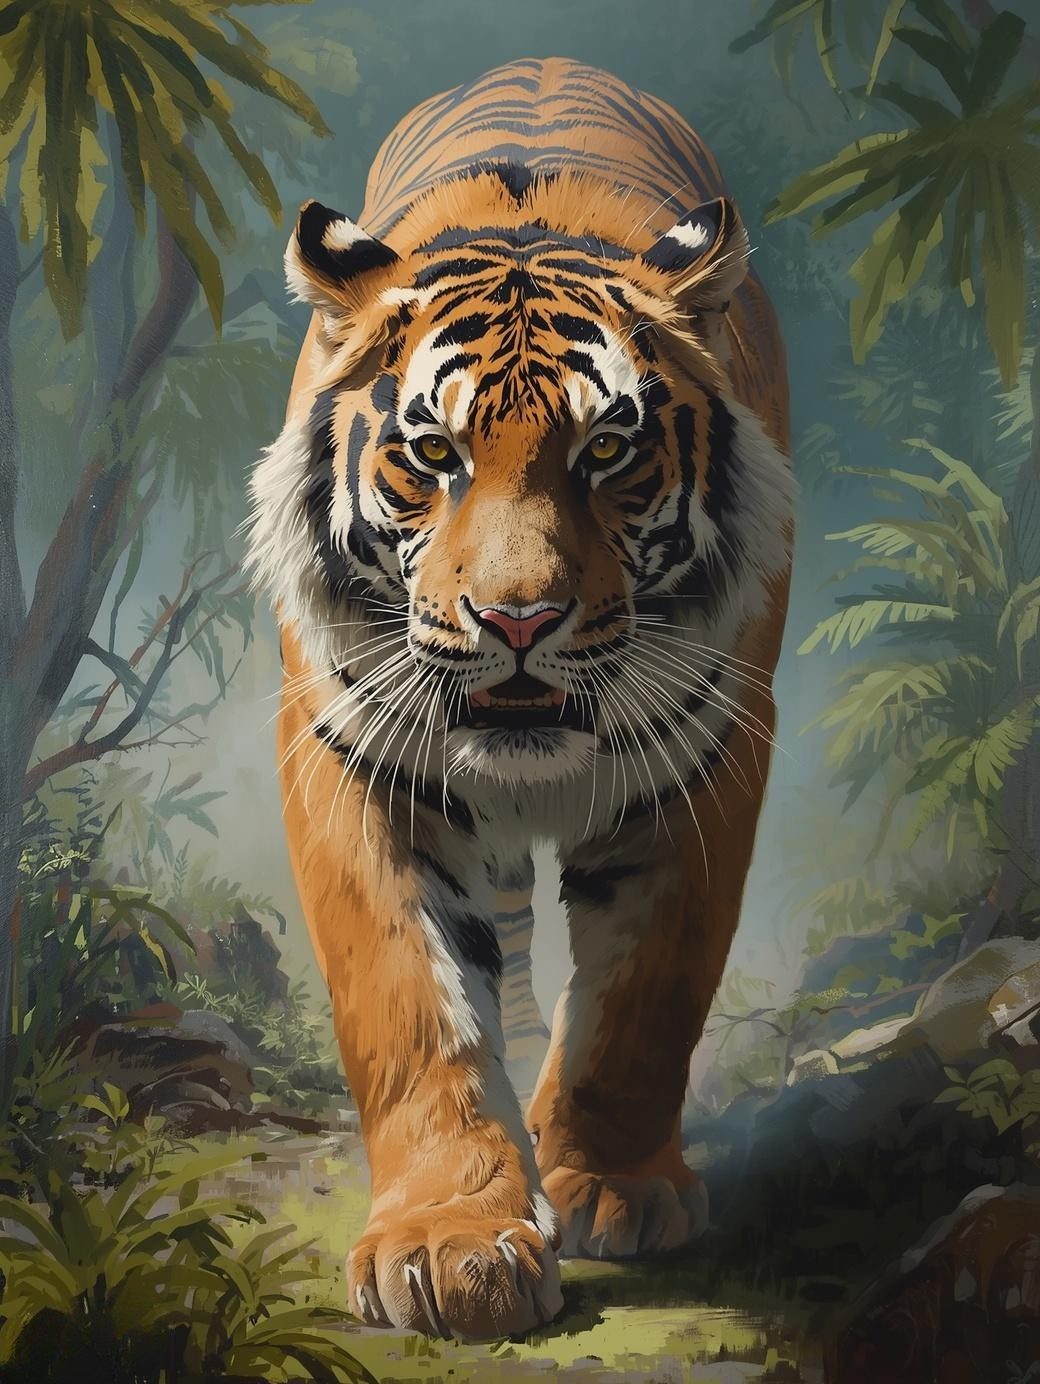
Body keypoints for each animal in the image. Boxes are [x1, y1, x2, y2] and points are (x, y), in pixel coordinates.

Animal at [247, 56, 792, 1341]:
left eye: (607, 452)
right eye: (431, 455)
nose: (517, 622)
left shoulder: (712, 754)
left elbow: (647, 993)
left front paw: (613, 1183)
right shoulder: (353, 756)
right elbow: (412, 1002)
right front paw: (449, 1244)